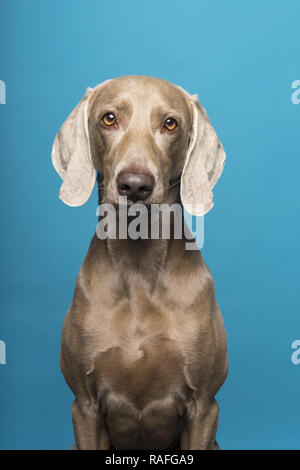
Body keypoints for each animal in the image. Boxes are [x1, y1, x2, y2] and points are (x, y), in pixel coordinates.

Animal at [51, 75, 229, 450]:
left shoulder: (204, 406)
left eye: (170, 123)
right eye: (108, 118)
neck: (139, 266)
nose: (135, 185)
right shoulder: (84, 407)